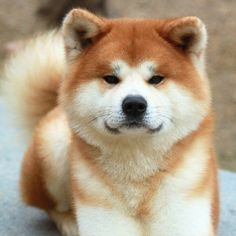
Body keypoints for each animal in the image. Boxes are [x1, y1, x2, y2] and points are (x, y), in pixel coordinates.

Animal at [1, 7, 219, 236]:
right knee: (50, 206)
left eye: (156, 79)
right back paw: (70, 222)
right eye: (111, 78)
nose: (134, 104)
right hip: (53, 143)